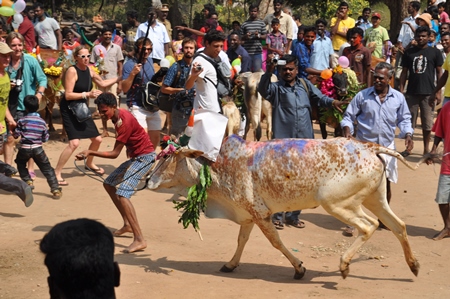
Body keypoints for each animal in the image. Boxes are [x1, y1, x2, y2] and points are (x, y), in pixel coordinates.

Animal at [147, 137, 422, 280]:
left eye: (167, 157)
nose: (148, 180)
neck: (218, 167)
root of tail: (369, 146)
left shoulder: (261, 215)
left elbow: (276, 242)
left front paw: (299, 268)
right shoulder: (249, 215)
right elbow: (241, 241)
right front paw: (230, 265)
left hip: (337, 203)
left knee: (369, 226)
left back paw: (344, 265)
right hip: (375, 199)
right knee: (399, 225)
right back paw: (413, 265)